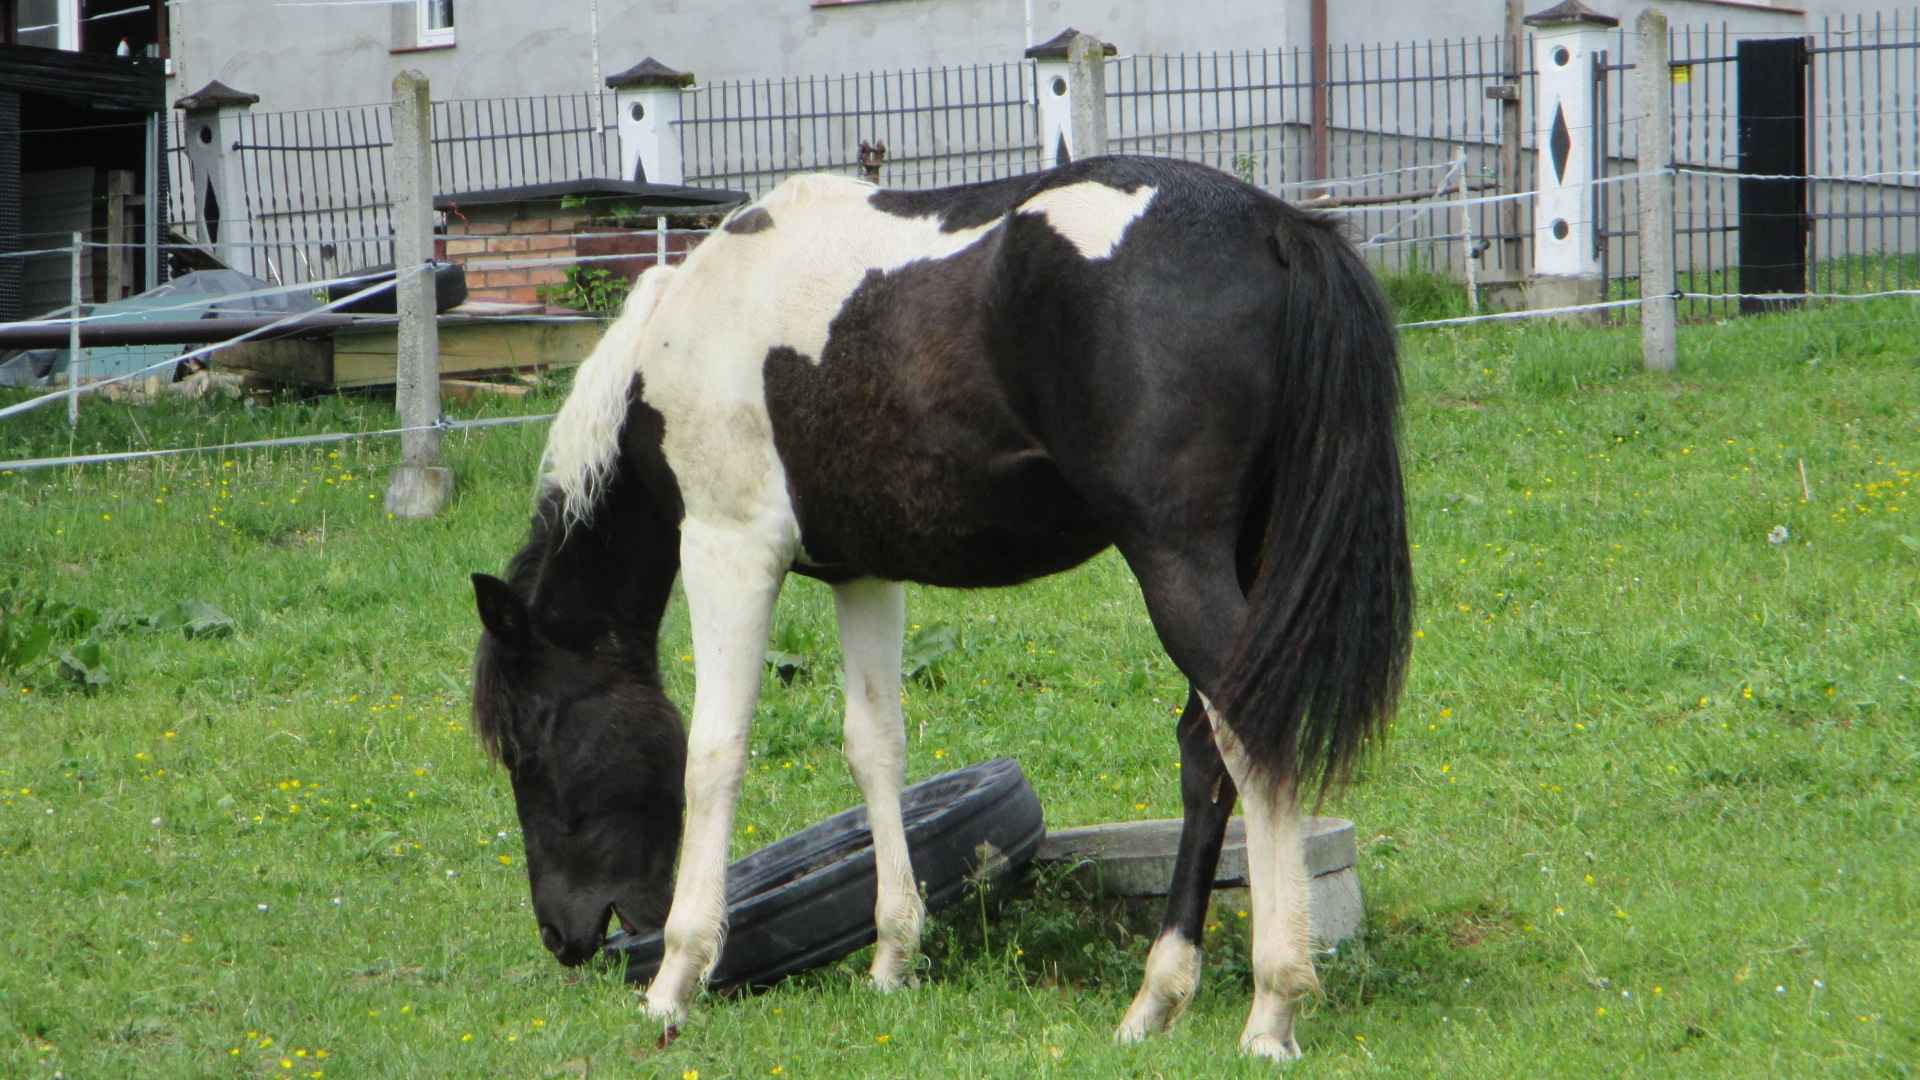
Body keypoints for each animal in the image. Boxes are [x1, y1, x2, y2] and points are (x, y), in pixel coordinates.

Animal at [472, 155, 1420, 1053]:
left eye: (527, 743)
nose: (561, 935)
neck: (687, 334)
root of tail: (1272, 225)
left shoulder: (728, 549)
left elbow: (714, 756)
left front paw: (675, 976)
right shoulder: (863, 573)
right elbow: (875, 749)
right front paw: (892, 957)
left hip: (1175, 561)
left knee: (1249, 738)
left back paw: (1272, 1007)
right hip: (1244, 564)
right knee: (1206, 752)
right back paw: (1156, 1001)